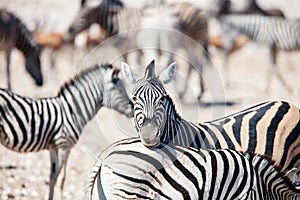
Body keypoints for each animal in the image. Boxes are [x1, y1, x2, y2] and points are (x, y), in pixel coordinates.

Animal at [0, 63, 134, 199]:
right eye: (120, 90)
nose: (132, 109)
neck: (71, 111)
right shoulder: (64, 146)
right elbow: (60, 178)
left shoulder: (53, 147)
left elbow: (53, 176)